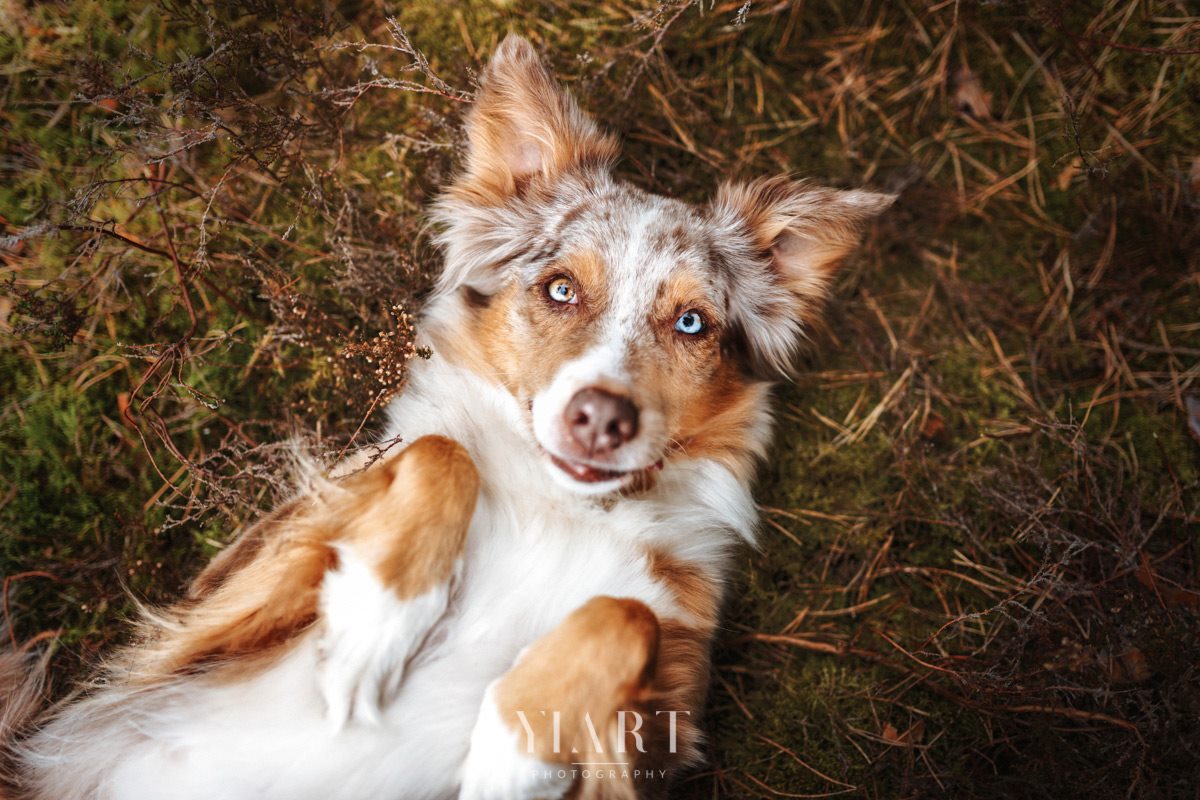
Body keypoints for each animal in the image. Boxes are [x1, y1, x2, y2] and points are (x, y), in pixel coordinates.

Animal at [0, 32, 892, 800]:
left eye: (693, 323)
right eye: (560, 288)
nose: (601, 418)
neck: (557, 502)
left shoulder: (663, 723)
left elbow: (624, 612)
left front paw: (514, 746)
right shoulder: (208, 617)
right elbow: (440, 452)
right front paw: (375, 624)